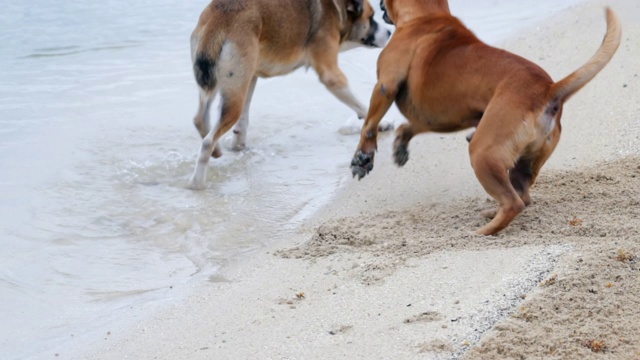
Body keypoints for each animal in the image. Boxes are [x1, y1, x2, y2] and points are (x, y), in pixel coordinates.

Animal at [188, 0, 392, 188]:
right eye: (371, 17)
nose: (390, 33)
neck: (335, 8)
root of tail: (219, 20)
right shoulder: (331, 75)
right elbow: (361, 105)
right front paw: (382, 123)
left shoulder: (251, 76)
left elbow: (243, 122)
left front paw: (239, 144)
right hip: (233, 97)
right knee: (207, 141)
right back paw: (197, 182)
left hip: (222, 85)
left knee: (200, 119)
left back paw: (215, 150)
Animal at [350, 0, 620, 235]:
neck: (428, 16)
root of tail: (548, 90)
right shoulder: (440, 118)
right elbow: (409, 127)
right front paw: (400, 146)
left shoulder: (384, 87)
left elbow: (369, 125)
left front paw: (362, 158)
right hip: (524, 163)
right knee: (522, 196)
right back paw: (492, 213)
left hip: (483, 155)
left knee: (514, 203)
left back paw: (481, 233)